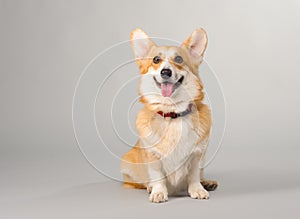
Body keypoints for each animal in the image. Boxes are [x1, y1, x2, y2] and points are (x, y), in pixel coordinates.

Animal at [120, 28, 218, 203]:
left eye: (179, 59)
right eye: (156, 60)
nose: (165, 72)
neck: (173, 112)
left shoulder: (197, 155)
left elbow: (194, 175)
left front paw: (197, 189)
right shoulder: (153, 157)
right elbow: (157, 176)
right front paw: (158, 192)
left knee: (200, 174)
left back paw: (207, 183)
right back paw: (149, 187)